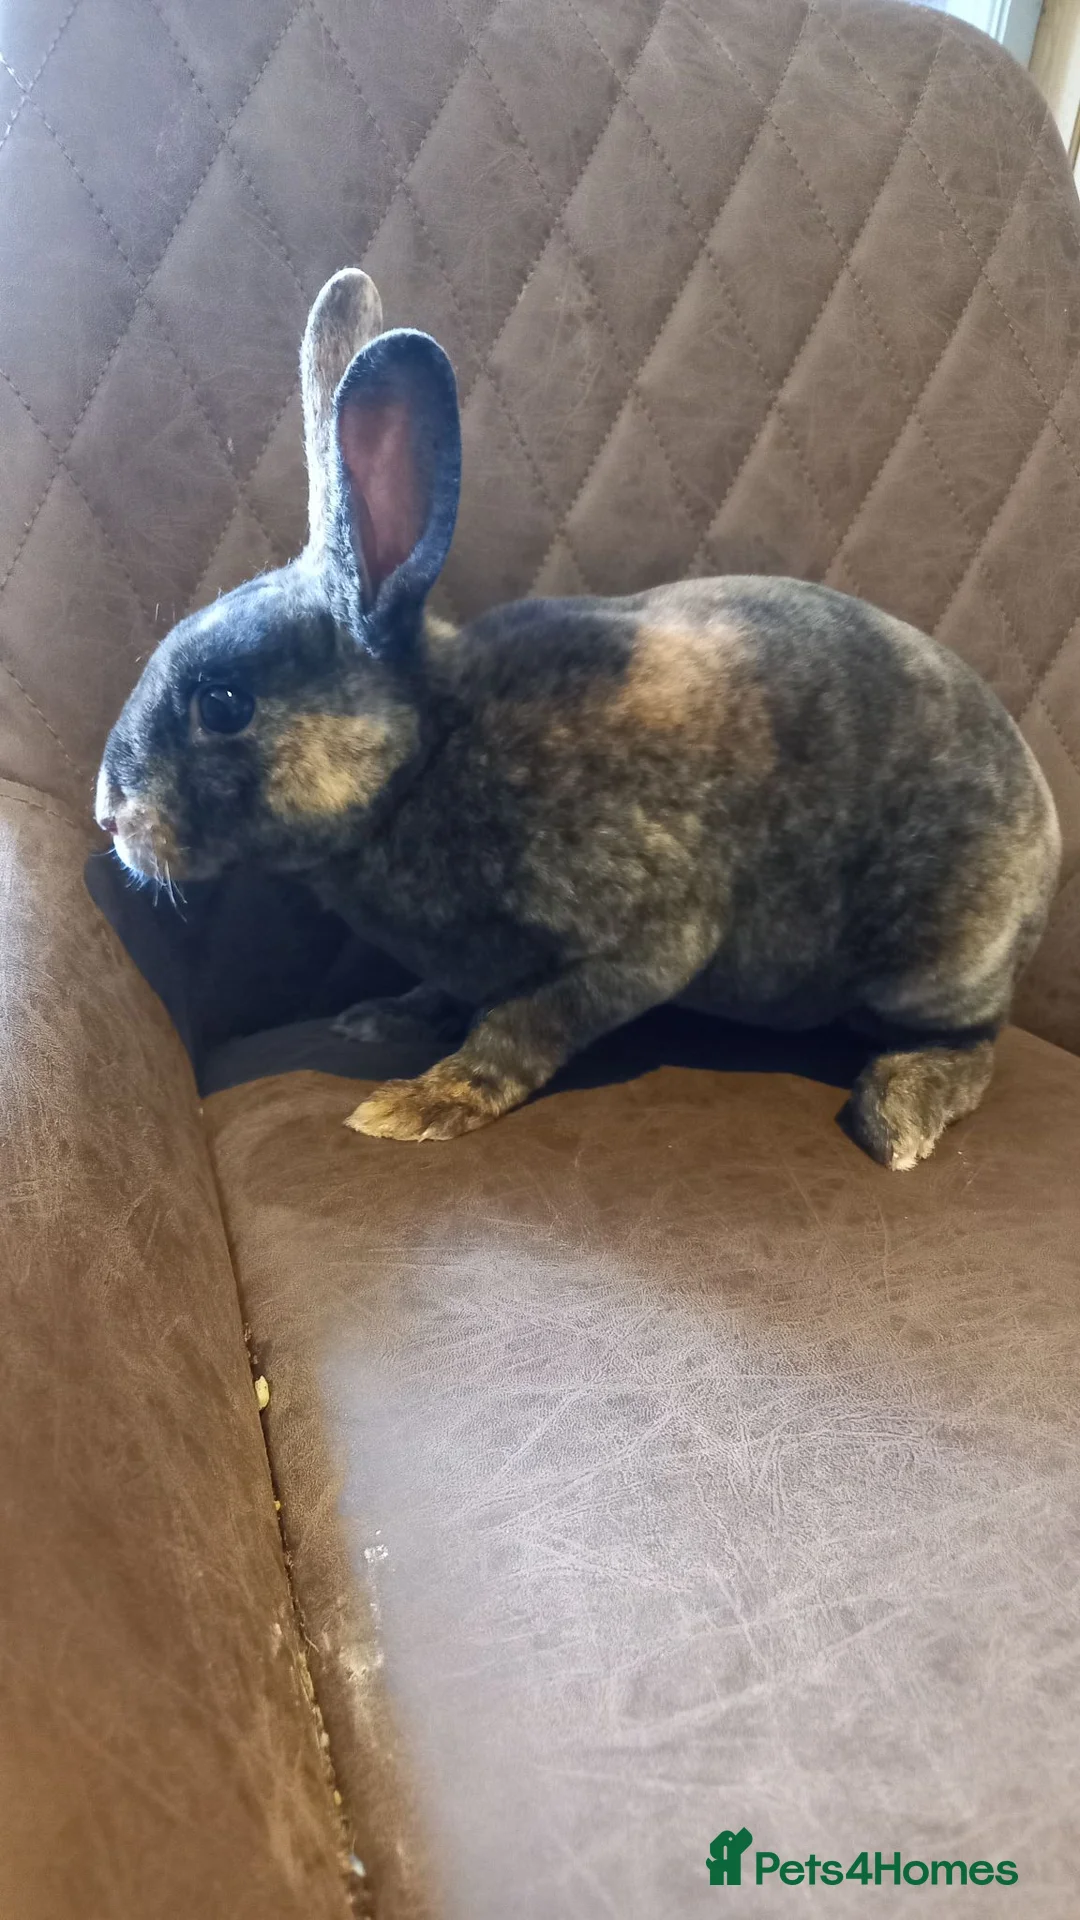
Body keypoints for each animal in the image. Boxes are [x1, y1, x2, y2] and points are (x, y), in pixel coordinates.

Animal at [95, 268, 1061, 1166]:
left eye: (224, 706)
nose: (110, 817)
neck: (428, 756)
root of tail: (1048, 837)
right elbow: (458, 995)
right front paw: (384, 1019)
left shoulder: (643, 941)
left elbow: (524, 1026)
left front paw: (422, 1104)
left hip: (935, 960)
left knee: (972, 1044)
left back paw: (900, 1114)